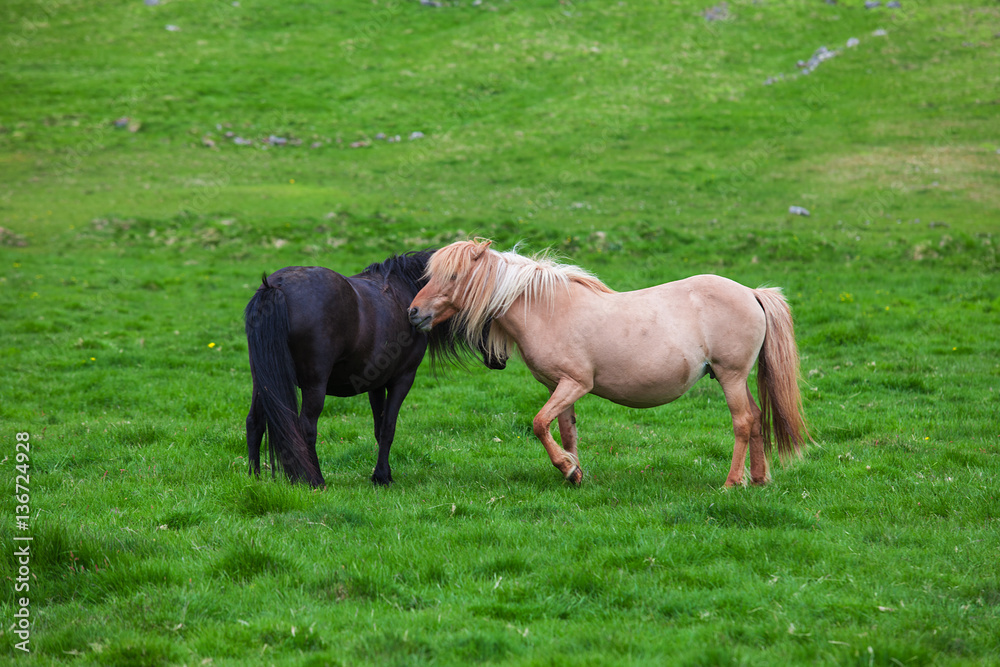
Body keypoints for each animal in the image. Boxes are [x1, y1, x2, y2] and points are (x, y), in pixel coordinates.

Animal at [244, 250, 506, 488]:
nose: (500, 359)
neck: (407, 290)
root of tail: (276, 285)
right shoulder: (403, 379)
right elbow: (389, 428)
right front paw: (382, 477)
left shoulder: (376, 384)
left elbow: (379, 429)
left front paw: (382, 473)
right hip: (313, 386)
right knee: (305, 428)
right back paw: (315, 480)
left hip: (263, 381)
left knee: (254, 422)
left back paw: (254, 478)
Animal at [407, 239, 809, 487]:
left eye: (454, 276)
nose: (413, 313)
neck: (547, 309)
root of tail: (752, 293)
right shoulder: (559, 387)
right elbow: (564, 429)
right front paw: (574, 472)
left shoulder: (575, 383)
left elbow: (539, 424)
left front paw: (567, 467)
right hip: (734, 378)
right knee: (755, 418)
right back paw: (758, 479)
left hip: (731, 375)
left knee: (742, 422)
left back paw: (731, 482)